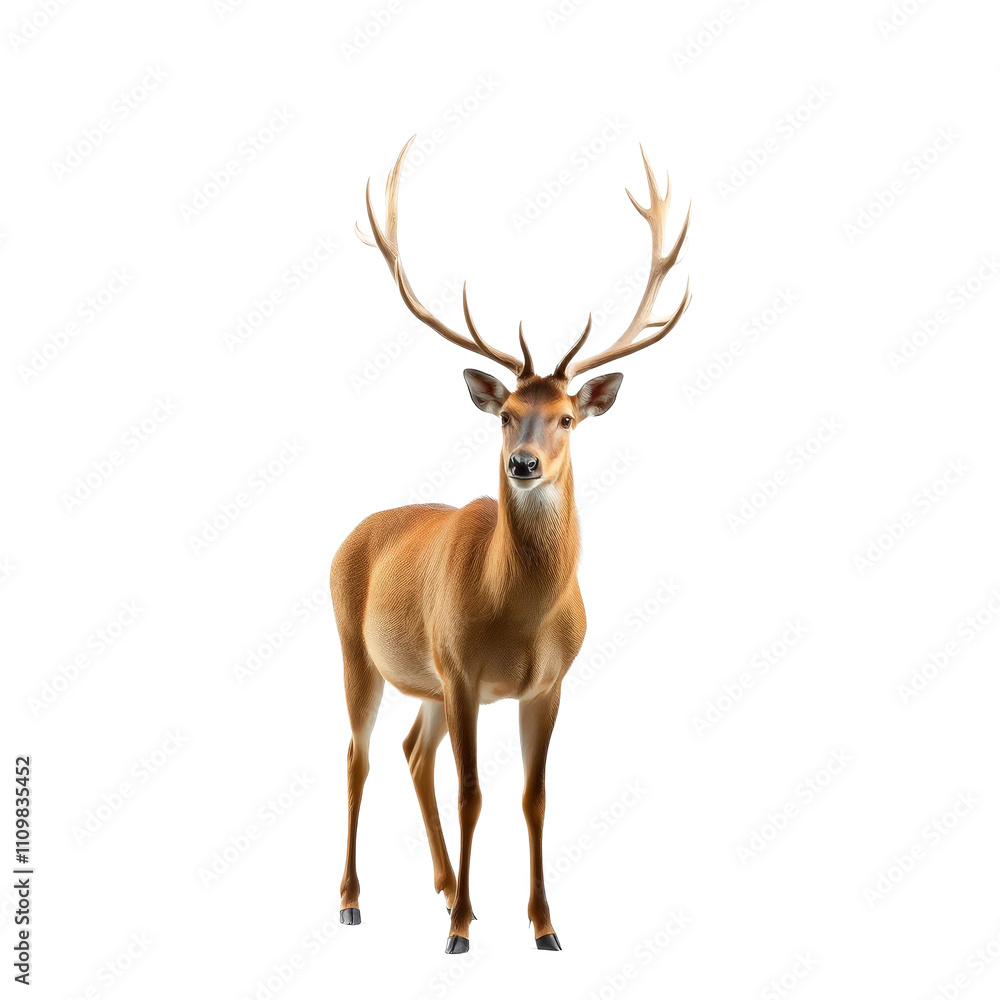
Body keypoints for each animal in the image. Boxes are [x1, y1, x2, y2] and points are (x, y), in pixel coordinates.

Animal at [330, 137, 690, 954]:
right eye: (505, 416)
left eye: (566, 418)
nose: (523, 464)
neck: (518, 617)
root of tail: (350, 535)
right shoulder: (463, 668)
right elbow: (473, 792)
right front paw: (464, 928)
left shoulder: (549, 682)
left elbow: (535, 796)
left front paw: (545, 926)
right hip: (359, 648)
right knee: (359, 756)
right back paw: (355, 899)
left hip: (426, 679)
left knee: (412, 752)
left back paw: (438, 884)